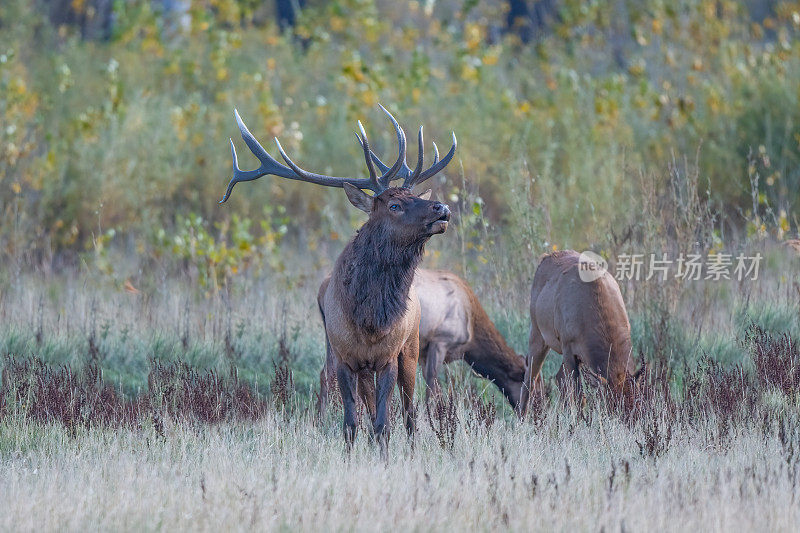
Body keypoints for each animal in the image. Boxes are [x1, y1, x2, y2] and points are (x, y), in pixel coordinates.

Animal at [219, 105, 456, 458]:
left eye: (415, 195)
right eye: (395, 205)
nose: (441, 207)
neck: (369, 321)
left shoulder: (388, 357)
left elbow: (385, 422)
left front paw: (385, 458)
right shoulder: (346, 358)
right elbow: (351, 422)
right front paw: (351, 456)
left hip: (411, 347)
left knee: (410, 412)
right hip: (346, 357)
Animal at [316, 268, 528, 414]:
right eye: (528, 388)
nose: (529, 412)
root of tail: (322, 288)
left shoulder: (424, 352)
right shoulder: (440, 341)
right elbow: (433, 385)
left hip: (333, 337)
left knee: (325, 373)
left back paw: (320, 418)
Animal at [520, 249, 636, 416]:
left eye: (637, 402)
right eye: (612, 405)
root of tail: (545, 258)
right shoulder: (568, 346)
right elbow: (578, 396)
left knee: (558, 376)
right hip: (537, 332)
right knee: (530, 376)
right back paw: (522, 416)